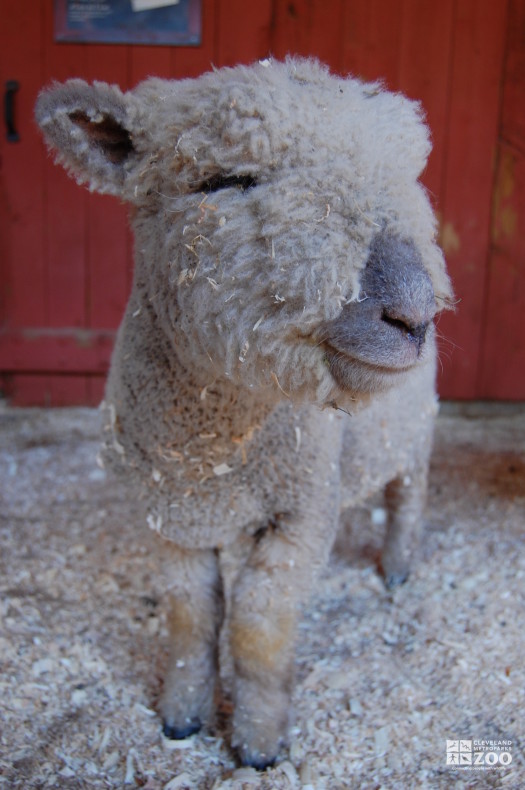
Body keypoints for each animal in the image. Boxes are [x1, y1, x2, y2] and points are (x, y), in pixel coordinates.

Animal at [34, 57, 450, 772]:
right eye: (225, 181)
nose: (414, 312)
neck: (215, 439)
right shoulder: (168, 515)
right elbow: (191, 617)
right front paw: (181, 716)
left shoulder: (302, 511)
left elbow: (258, 623)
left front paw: (258, 743)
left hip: (414, 430)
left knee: (407, 494)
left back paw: (398, 566)